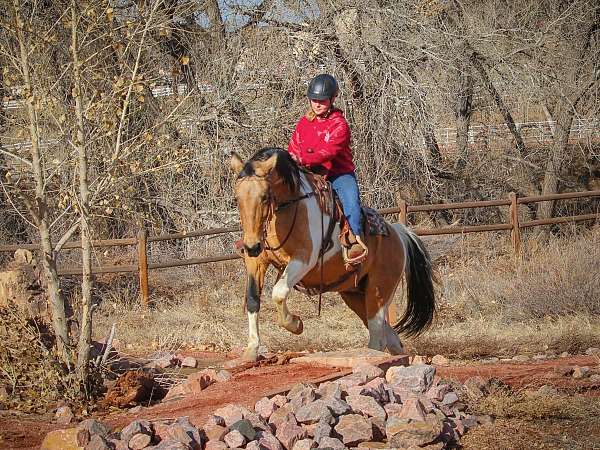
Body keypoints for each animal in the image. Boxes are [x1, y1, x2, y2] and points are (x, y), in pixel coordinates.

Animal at [231, 148, 436, 362]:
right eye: (237, 199)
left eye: (264, 197)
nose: (252, 246)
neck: (290, 207)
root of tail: (397, 233)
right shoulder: (256, 261)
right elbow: (252, 299)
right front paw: (251, 349)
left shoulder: (304, 259)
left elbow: (278, 292)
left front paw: (295, 324)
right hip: (354, 295)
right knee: (392, 338)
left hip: (378, 291)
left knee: (377, 334)